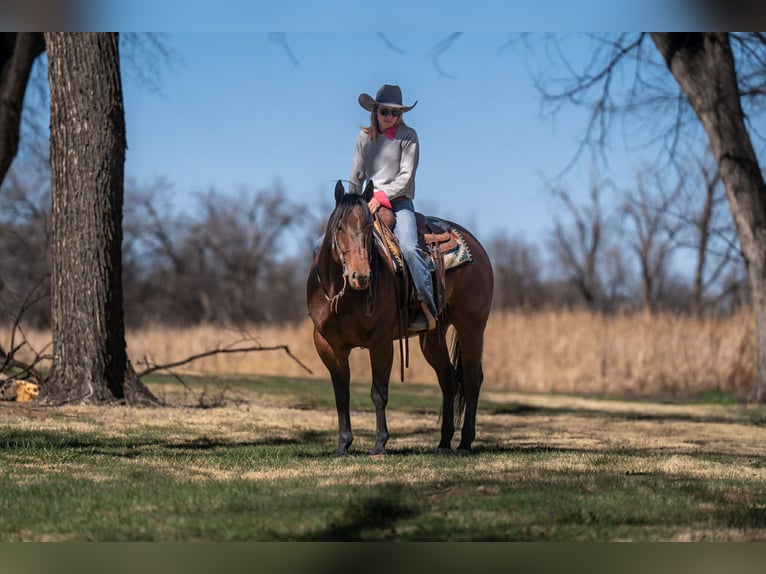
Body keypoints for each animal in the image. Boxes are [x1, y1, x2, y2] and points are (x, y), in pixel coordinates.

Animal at [307, 180, 494, 456]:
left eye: (367, 226)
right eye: (339, 227)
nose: (361, 276)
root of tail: (476, 246)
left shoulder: (381, 343)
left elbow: (378, 393)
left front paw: (379, 444)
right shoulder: (328, 345)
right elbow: (342, 394)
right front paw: (343, 445)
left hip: (471, 328)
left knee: (471, 378)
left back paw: (465, 442)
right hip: (433, 337)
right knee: (448, 380)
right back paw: (444, 442)